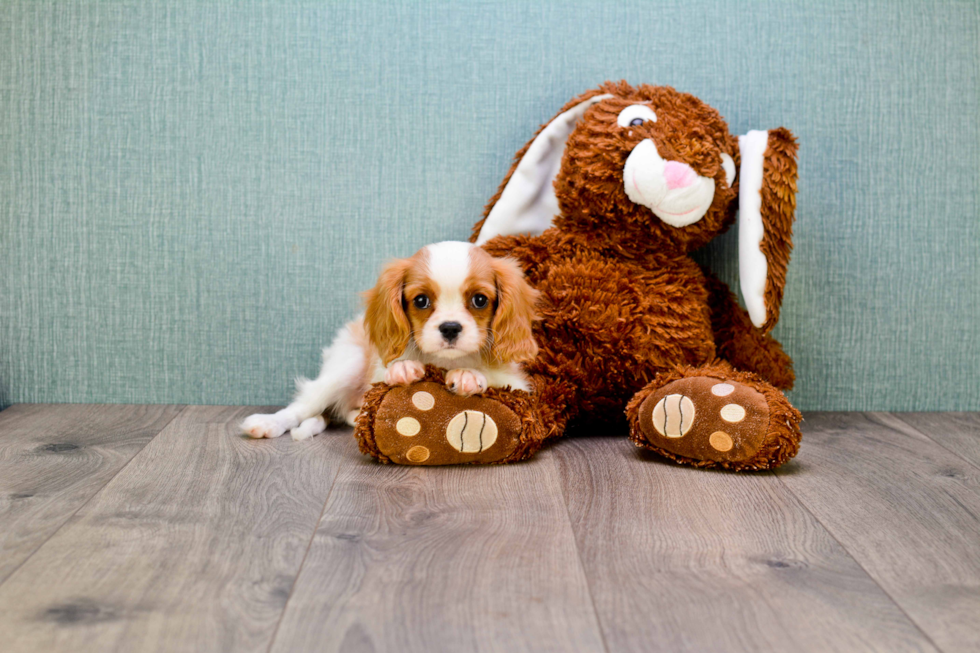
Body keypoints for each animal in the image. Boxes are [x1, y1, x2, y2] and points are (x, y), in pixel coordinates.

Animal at [240, 242, 540, 440]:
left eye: (479, 300)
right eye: (421, 301)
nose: (450, 327)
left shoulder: (520, 388)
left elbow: (493, 377)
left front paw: (467, 373)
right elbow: (387, 372)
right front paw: (403, 367)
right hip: (347, 363)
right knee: (302, 406)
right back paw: (268, 423)